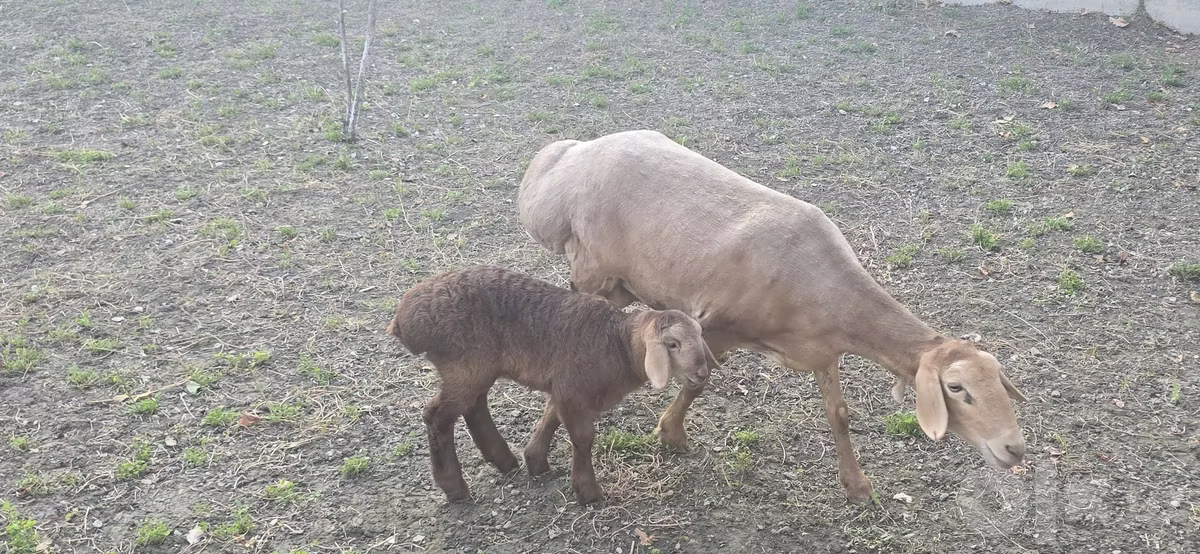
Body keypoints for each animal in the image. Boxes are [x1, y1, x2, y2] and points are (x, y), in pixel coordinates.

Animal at [386, 264, 719, 504]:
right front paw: (587, 491)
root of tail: (403, 319)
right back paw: (454, 487)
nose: (702, 373)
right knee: (437, 417)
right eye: (672, 345)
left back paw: (503, 459)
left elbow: (550, 417)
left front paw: (535, 461)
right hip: (463, 364)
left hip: (475, 368)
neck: (618, 346)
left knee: (474, 406)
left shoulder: (564, 387)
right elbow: (583, 438)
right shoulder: (573, 388)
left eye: (700, 336)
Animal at [516, 129, 1029, 504]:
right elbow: (697, 382)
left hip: (621, 283)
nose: (1015, 449)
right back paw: (539, 450)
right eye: (956, 389)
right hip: (595, 272)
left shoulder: (822, 350)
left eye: (999, 382)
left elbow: (839, 416)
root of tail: (567, 161)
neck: (827, 292)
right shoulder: (717, 325)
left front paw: (857, 486)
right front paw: (671, 434)